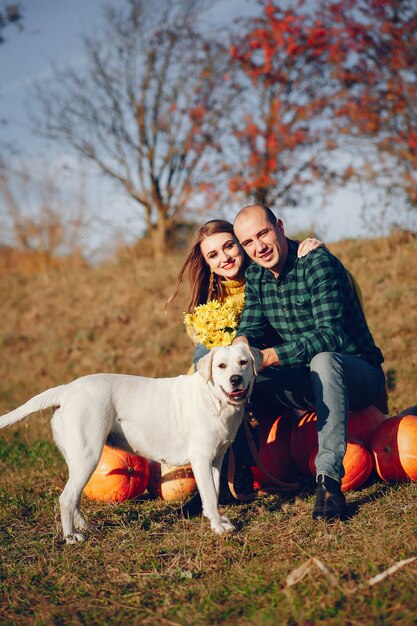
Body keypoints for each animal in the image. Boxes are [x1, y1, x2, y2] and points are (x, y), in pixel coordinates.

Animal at [0, 342, 260, 540]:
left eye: (243, 362)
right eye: (221, 366)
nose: (235, 379)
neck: (215, 398)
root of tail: (66, 390)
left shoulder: (216, 459)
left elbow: (213, 494)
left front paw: (218, 520)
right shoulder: (202, 460)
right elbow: (209, 495)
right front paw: (217, 527)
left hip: (79, 461)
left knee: (74, 498)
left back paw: (85, 526)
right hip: (88, 457)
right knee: (66, 499)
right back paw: (71, 537)